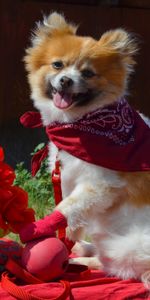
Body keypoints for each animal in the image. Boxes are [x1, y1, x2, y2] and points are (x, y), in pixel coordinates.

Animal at [22, 11, 150, 284]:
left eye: (88, 73)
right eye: (57, 65)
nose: (66, 80)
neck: (80, 124)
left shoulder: (101, 184)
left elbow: (67, 207)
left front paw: (47, 227)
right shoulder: (67, 176)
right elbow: (73, 210)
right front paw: (70, 236)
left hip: (127, 245)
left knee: (117, 267)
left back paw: (82, 260)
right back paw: (83, 249)